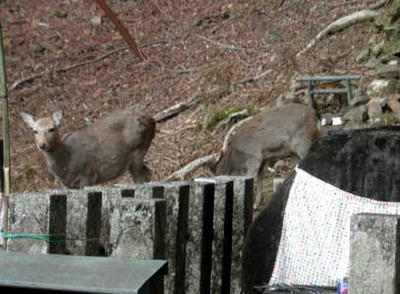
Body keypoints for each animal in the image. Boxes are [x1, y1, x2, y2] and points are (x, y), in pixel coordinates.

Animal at [20, 109, 155, 188]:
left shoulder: (87, 176)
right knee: (149, 173)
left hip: (138, 150)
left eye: (52, 129)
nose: (42, 145)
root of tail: (151, 120)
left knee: (141, 179)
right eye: (34, 131)